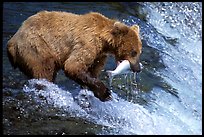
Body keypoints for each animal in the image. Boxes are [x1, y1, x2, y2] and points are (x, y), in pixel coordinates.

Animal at [7, 11, 142, 101]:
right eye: (133, 52)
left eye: (139, 51)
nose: (138, 68)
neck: (104, 42)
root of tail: (12, 41)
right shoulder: (87, 43)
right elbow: (73, 66)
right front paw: (105, 92)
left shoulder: (99, 55)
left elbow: (92, 70)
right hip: (37, 47)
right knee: (44, 71)